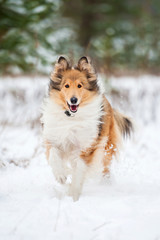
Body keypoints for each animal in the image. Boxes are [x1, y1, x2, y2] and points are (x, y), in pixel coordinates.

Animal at [41, 55, 132, 201]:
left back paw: (106, 183)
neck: (72, 118)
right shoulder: (54, 138)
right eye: (66, 85)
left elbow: (79, 171)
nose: (73, 100)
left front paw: (74, 194)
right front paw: (61, 177)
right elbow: (54, 156)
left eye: (80, 85)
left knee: (105, 165)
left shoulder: (86, 147)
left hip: (106, 146)